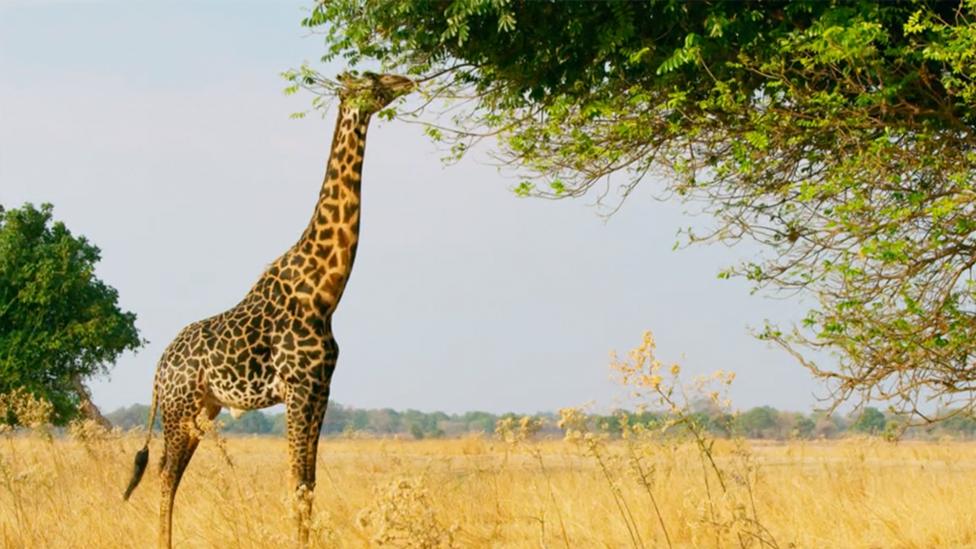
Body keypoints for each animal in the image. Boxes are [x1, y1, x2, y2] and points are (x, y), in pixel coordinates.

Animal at [121, 72, 415, 548]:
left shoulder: (321, 388)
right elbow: (296, 482)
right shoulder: (298, 388)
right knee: (166, 476)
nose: (405, 79)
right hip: (180, 408)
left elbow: (308, 482)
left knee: (171, 474)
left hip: (204, 408)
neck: (324, 292)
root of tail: (159, 367)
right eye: (371, 79)